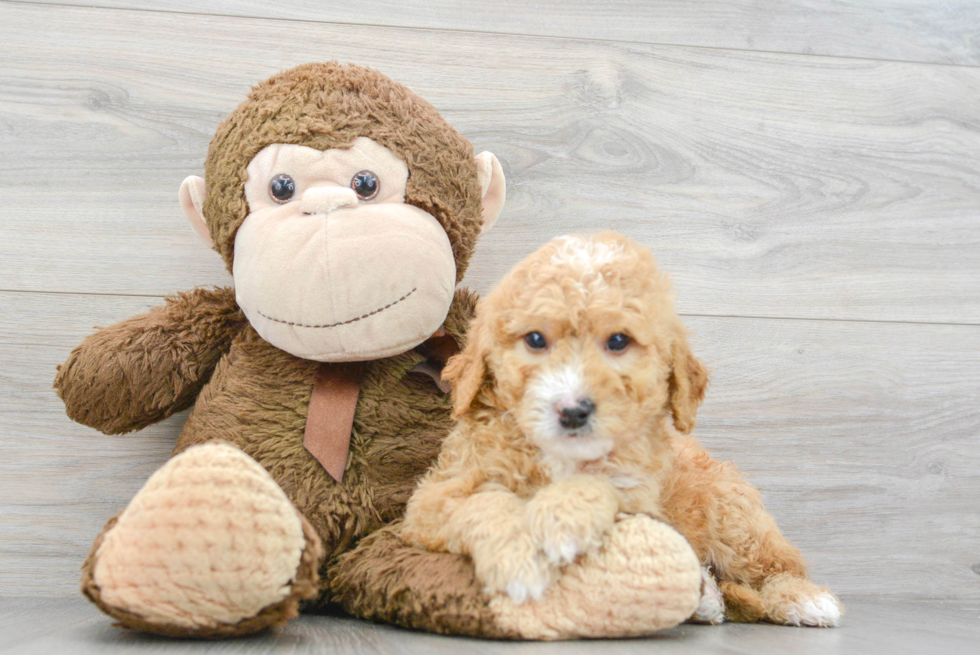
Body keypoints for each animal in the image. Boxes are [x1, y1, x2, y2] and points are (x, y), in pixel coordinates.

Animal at [400, 233, 844, 628]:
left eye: (618, 341)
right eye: (535, 339)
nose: (573, 411)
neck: (559, 455)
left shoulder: (638, 494)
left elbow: (602, 485)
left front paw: (563, 519)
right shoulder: (435, 496)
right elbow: (484, 502)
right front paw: (519, 563)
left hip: (735, 519)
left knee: (782, 567)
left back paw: (805, 600)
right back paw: (706, 597)